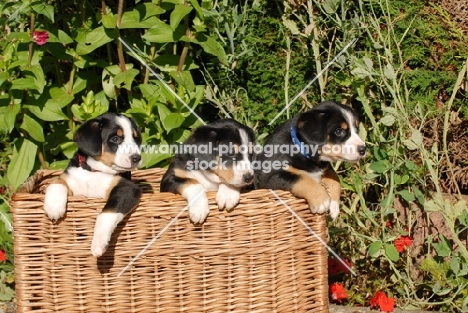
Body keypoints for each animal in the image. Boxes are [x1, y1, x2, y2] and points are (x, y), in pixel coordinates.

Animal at [44, 111, 143, 256]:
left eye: (136, 139)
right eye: (115, 139)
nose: (136, 158)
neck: (94, 171)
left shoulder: (127, 188)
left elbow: (107, 213)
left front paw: (98, 243)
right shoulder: (70, 178)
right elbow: (56, 181)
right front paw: (54, 207)